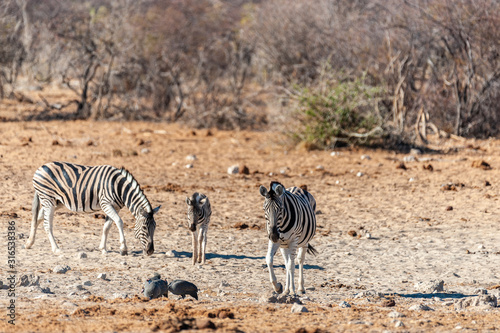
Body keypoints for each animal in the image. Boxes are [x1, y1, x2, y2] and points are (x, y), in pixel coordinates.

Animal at [24, 162, 160, 255]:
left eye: (155, 227)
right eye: (144, 228)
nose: (151, 251)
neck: (119, 187)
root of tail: (41, 167)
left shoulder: (114, 207)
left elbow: (107, 227)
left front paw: (103, 249)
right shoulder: (106, 203)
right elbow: (119, 222)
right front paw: (123, 249)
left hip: (55, 201)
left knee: (38, 217)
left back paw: (29, 243)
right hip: (47, 198)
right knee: (47, 224)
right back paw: (56, 248)